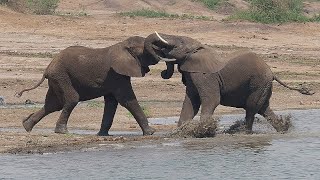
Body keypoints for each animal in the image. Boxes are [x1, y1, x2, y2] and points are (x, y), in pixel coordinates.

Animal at [15, 35, 159, 136]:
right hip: (61, 76)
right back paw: (62, 132)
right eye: (146, 50)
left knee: (53, 104)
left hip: (57, 79)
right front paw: (151, 132)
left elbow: (111, 102)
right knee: (71, 99)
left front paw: (102, 135)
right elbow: (127, 100)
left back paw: (26, 126)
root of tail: (47, 68)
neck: (122, 45)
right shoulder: (117, 74)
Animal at [144, 32, 314, 133]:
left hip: (259, 83)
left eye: (177, 43)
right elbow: (191, 102)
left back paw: (244, 132)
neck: (199, 48)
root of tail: (272, 72)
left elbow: (210, 100)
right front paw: (181, 132)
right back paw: (282, 128)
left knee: (252, 107)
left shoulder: (205, 76)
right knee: (263, 108)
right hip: (263, 85)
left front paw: (202, 131)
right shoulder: (192, 74)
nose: (162, 72)